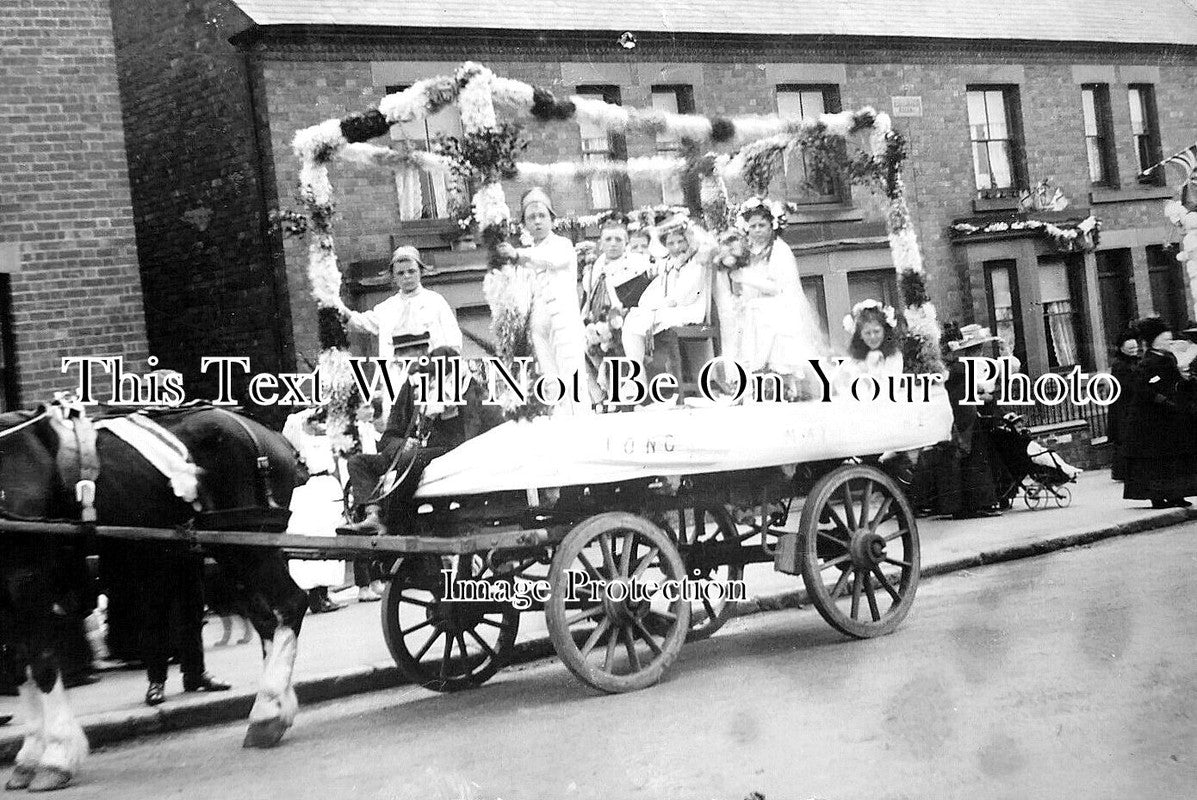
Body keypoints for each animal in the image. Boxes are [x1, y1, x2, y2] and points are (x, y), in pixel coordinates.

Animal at [2, 402, 308, 790]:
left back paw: (267, 713)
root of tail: (270, 436)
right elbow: (19, 666)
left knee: (289, 605)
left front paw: (55, 756)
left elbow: (41, 664)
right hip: (232, 549)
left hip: (248, 544)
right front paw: (28, 758)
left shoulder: (27, 580)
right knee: (267, 619)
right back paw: (276, 706)